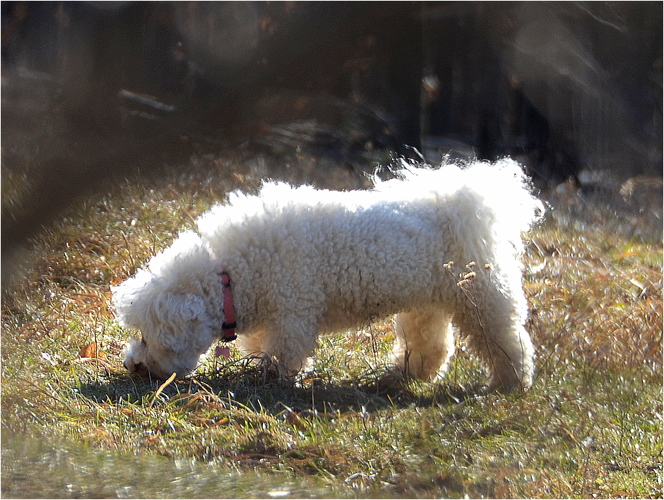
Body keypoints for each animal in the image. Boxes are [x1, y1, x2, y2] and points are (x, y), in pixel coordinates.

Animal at [113, 159, 540, 390]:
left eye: (146, 337)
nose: (132, 365)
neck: (230, 272)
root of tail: (463, 205)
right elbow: (262, 343)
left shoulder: (295, 311)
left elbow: (285, 352)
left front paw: (273, 379)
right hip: (427, 303)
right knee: (431, 344)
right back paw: (405, 376)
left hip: (483, 297)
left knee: (508, 341)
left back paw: (511, 383)